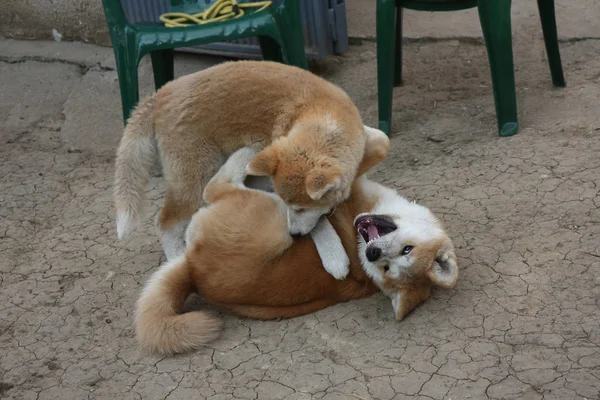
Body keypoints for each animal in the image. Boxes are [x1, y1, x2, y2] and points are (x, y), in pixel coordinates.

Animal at [113, 61, 380, 266]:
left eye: (300, 208)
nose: (292, 234)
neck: (323, 113)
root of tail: (160, 94)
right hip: (195, 175)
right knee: (166, 222)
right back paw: (177, 257)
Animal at [134, 148, 458, 354]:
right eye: (405, 250)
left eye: (387, 268)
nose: (373, 255)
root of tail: (194, 271)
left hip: (271, 216)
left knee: (214, 187)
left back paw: (246, 155)